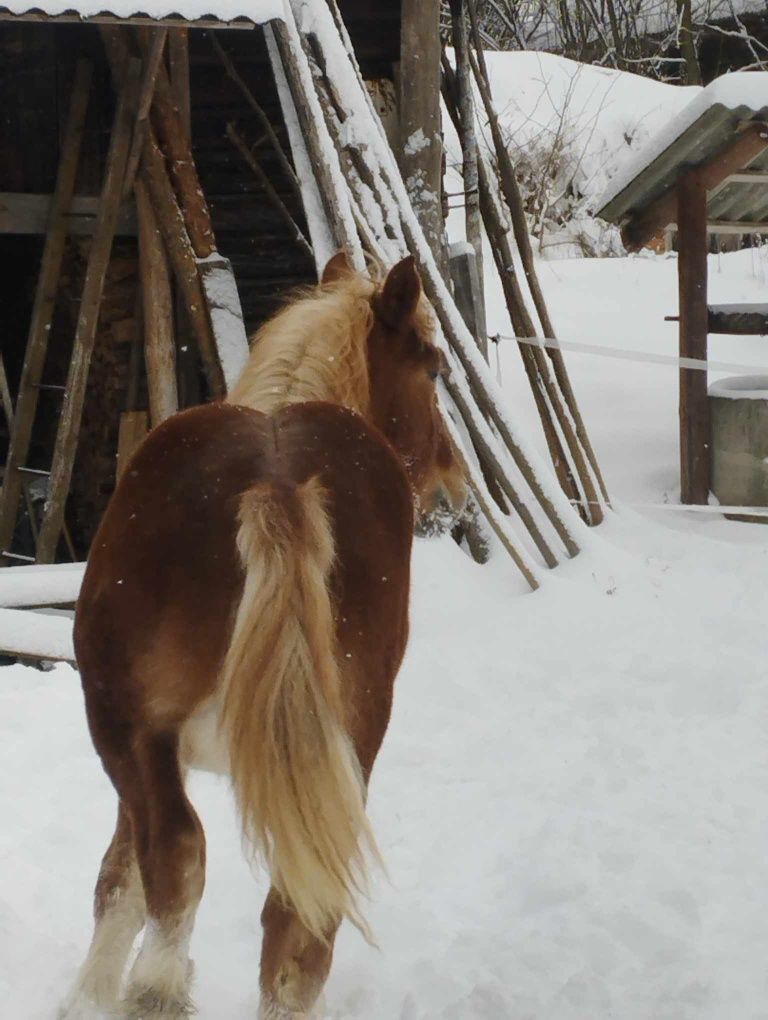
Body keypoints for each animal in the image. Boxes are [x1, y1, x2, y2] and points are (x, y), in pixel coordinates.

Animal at [59, 248, 465, 1020]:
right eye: (432, 369)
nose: (451, 478)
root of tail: (276, 487)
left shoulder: (144, 754)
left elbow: (120, 886)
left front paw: (89, 997)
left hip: (129, 734)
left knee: (181, 862)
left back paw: (156, 988)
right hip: (339, 755)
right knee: (298, 919)